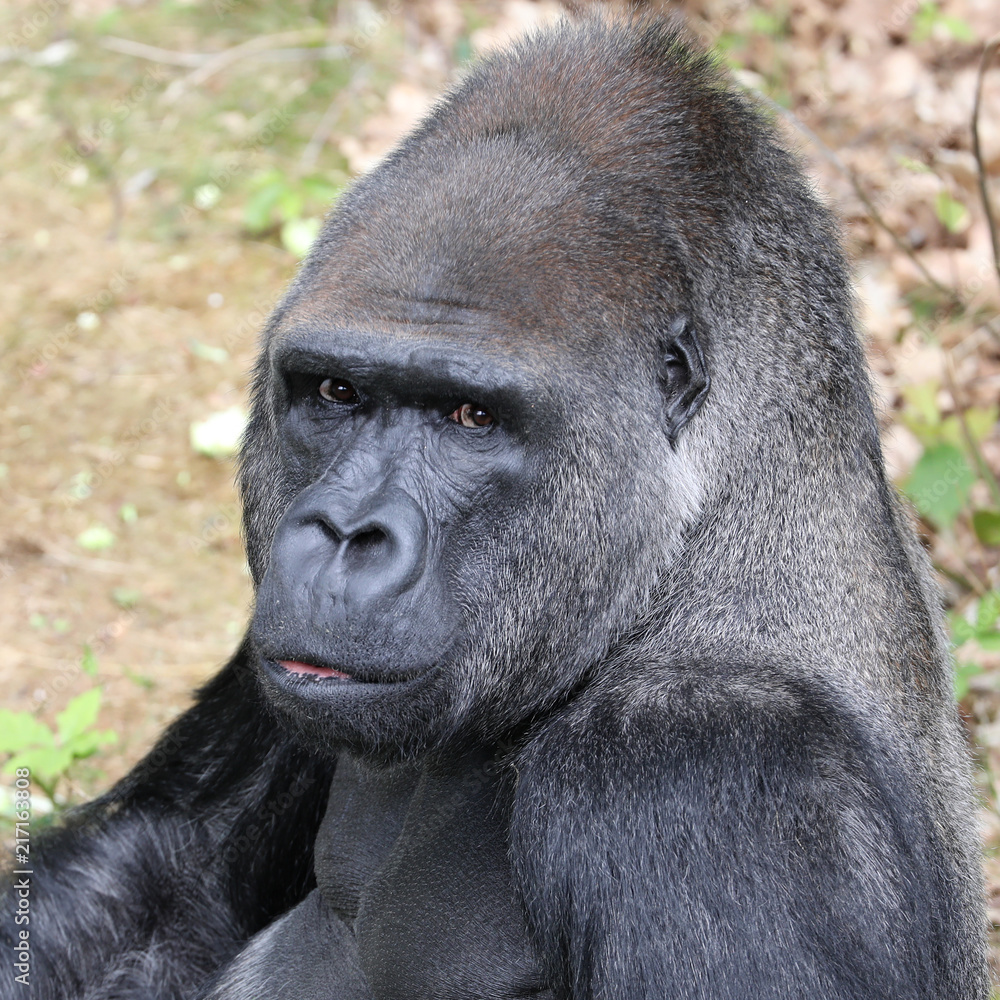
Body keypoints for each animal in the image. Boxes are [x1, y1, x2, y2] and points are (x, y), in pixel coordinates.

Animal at [1, 12, 988, 1000]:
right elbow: (160, 874)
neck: (699, 548)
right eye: (334, 393)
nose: (346, 534)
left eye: (471, 416)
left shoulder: (707, 760)